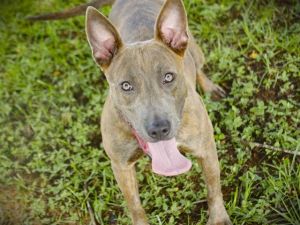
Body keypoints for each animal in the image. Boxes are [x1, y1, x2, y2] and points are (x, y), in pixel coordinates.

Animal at [29, 0, 232, 224]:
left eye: (168, 77)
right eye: (126, 86)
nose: (159, 129)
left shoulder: (206, 150)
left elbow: (213, 189)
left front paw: (219, 218)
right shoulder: (121, 166)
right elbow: (135, 206)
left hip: (196, 50)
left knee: (198, 67)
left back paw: (210, 88)